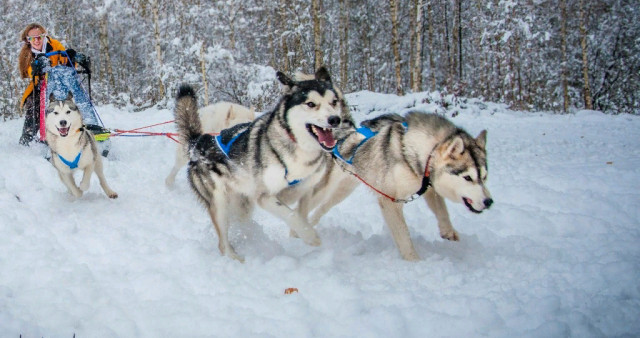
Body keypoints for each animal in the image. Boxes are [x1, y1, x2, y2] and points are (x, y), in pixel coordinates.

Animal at [174, 66, 344, 262]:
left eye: (334, 102)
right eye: (310, 104)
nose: (335, 119)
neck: (298, 148)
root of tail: (198, 142)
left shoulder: (307, 187)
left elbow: (301, 211)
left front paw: (300, 232)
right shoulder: (264, 196)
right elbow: (291, 213)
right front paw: (309, 236)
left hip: (242, 205)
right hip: (220, 203)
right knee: (223, 243)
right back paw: (236, 259)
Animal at [298, 112, 490, 260]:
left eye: (484, 177)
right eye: (468, 177)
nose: (489, 202)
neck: (419, 150)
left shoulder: (428, 187)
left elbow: (442, 210)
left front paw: (448, 231)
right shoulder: (390, 200)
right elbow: (404, 235)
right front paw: (414, 262)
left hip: (342, 191)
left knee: (321, 208)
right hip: (325, 188)